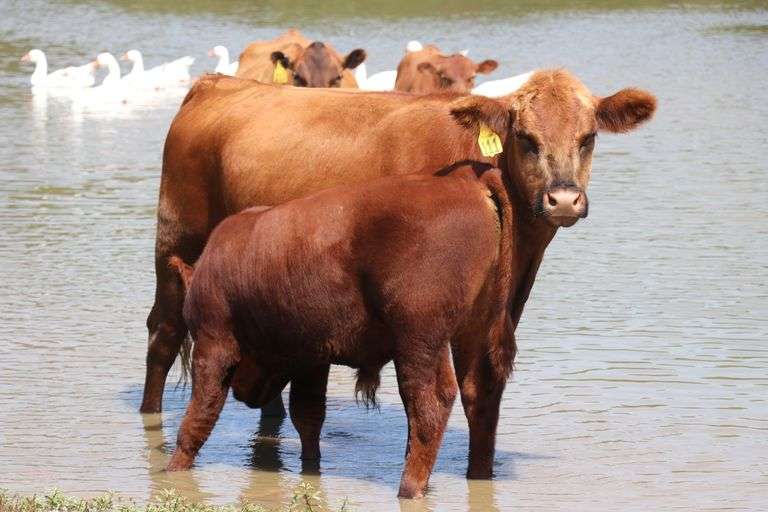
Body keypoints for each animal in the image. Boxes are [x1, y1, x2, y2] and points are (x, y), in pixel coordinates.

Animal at [142, 70, 656, 466]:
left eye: (588, 138)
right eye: (526, 139)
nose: (563, 199)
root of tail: (216, 83)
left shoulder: (497, 313)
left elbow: (482, 394)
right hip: (177, 244)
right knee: (163, 335)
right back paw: (151, 422)